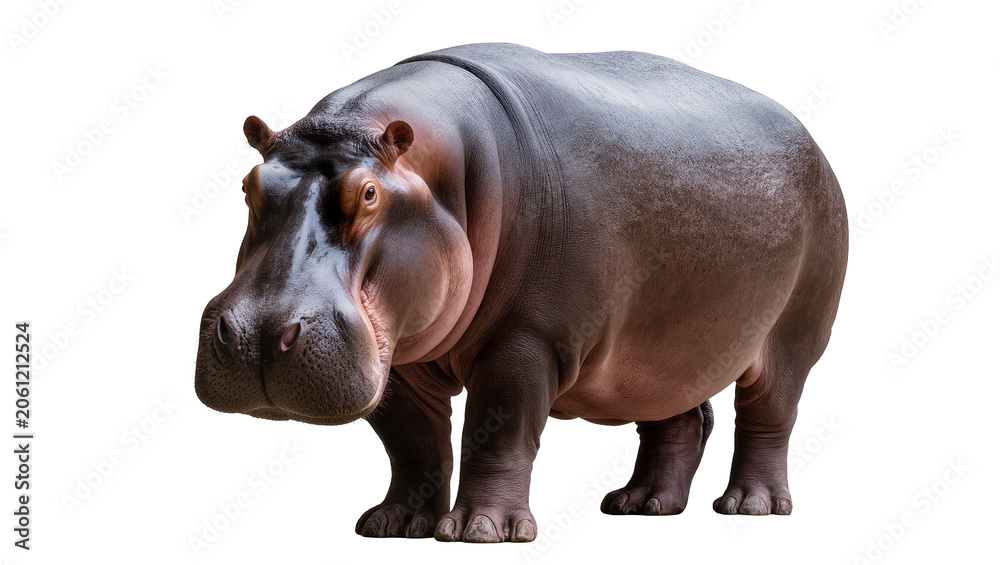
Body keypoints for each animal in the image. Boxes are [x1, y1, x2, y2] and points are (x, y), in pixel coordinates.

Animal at [194, 42, 848, 543]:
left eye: (370, 193)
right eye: (250, 185)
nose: (255, 335)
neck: (445, 176)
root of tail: (812, 140)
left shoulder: (529, 339)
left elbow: (501, 428)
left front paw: (481, 532)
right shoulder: (397, 359)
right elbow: (413, 442)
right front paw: (393, 525)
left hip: (792, 337)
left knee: (769, 416)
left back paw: (751, 507)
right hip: (665, 349)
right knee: (678, 418)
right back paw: (640, 505)